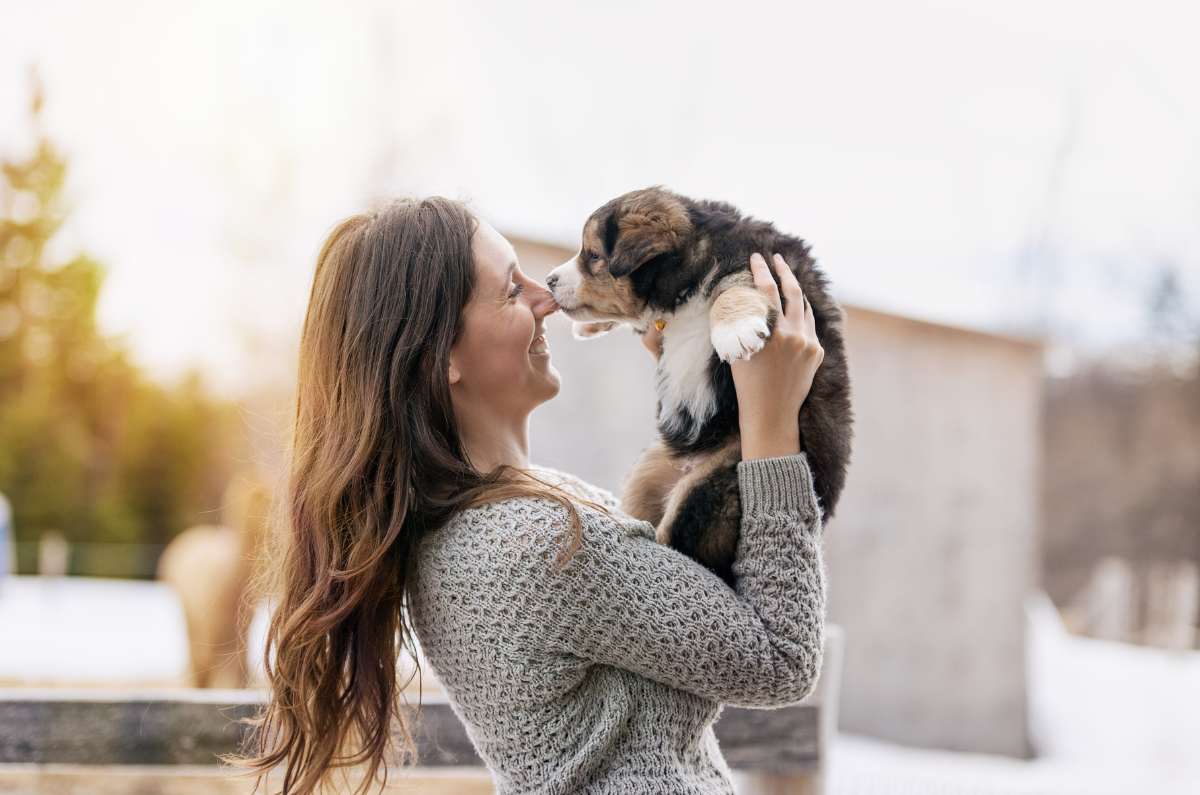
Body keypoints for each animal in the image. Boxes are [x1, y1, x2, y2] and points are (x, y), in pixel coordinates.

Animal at [547, 184, 854, 586]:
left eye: (594, 255)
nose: (549, 280)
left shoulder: (765, 269)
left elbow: (732, 288)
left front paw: (735, 332)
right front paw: (588, 326)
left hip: (716, 481)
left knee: (684, 546)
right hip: (649, 470)